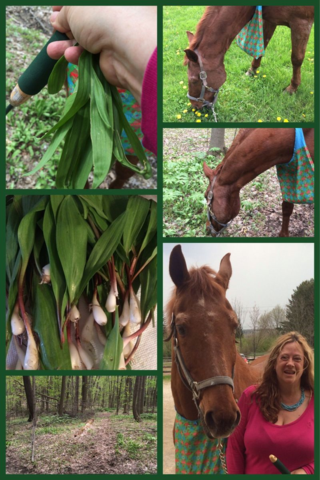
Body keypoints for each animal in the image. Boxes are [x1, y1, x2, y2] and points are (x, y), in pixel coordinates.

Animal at [184, 6, 314, 109]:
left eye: (194, 80)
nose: (194, 105)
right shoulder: (270, 19)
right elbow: (262, 46)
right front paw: (252, 70)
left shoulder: (301, 23)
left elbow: (296, 58)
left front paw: (293, 87)